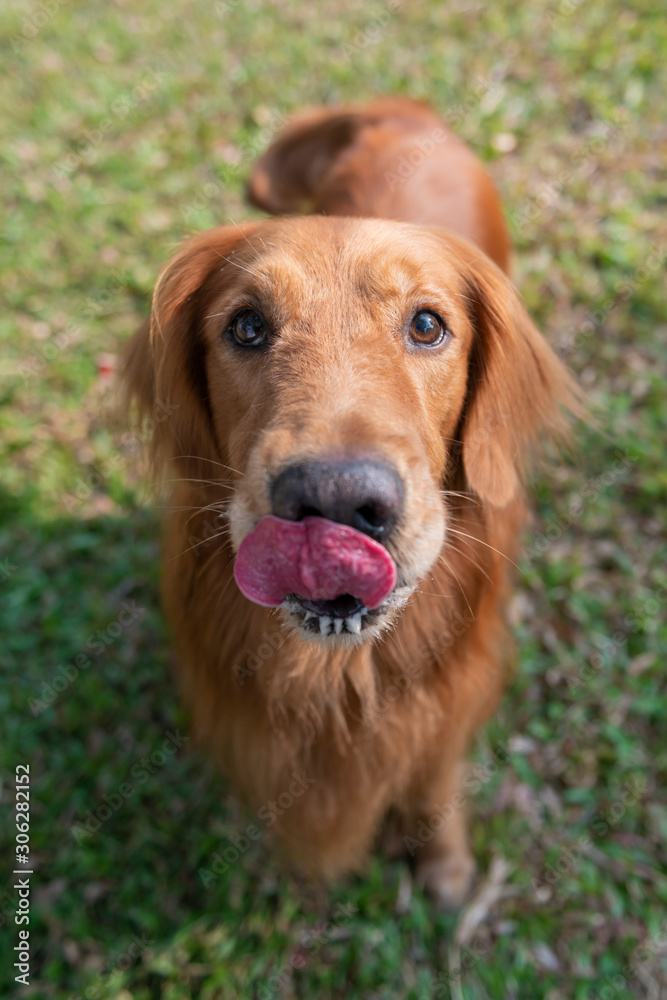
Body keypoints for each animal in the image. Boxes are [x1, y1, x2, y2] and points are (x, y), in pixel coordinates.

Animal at [124, 97, 580, 912]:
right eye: (246, 326)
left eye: (426, 325)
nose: (333, 501)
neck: (338, 679)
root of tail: (402, 111)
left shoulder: (446, 705)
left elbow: (432, 778)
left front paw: (444, 862)